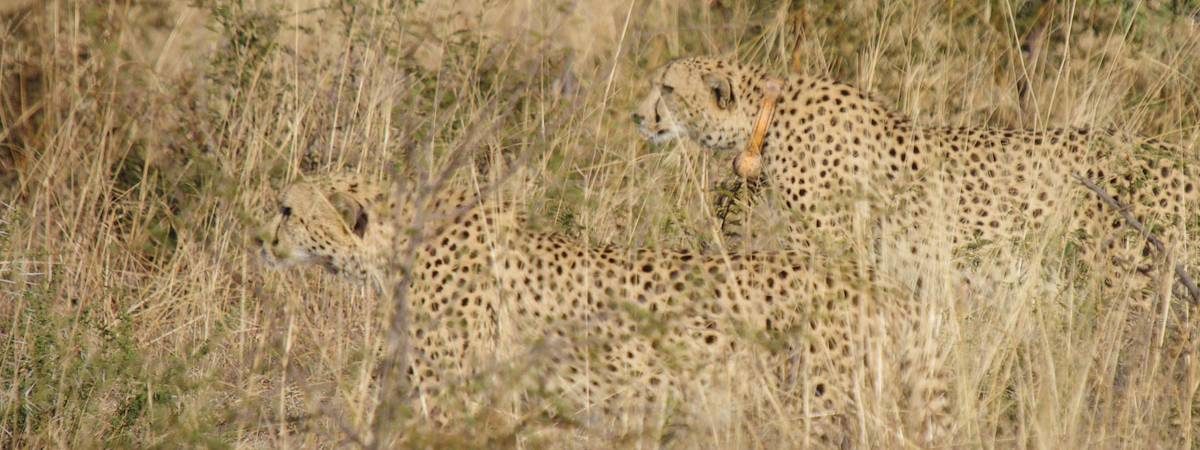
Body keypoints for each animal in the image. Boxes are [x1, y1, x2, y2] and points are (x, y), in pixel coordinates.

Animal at [633, 54, 1195, 304]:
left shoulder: (831, 251)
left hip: (1131, 279)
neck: (764, 116)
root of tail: (1174, 152)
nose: (639, 115)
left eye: (667, 88)